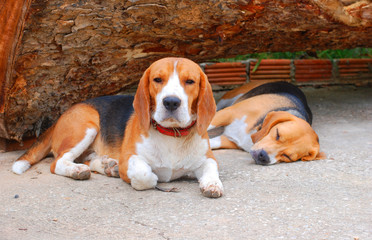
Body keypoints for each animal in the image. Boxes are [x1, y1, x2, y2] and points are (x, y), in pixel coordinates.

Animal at [12, 57, 224, 198]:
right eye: (157, 79)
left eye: (190, 81)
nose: (171, 102)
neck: (171, 135)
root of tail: (63, 115)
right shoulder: (129, 158)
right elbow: (144, 175)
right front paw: (153, 177)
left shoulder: (208, 158)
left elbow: (212, 168)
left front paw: (212, 184)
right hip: (87, 127)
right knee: (58, 163)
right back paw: (79, 170)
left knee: (88, 159)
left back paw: (106, 166)